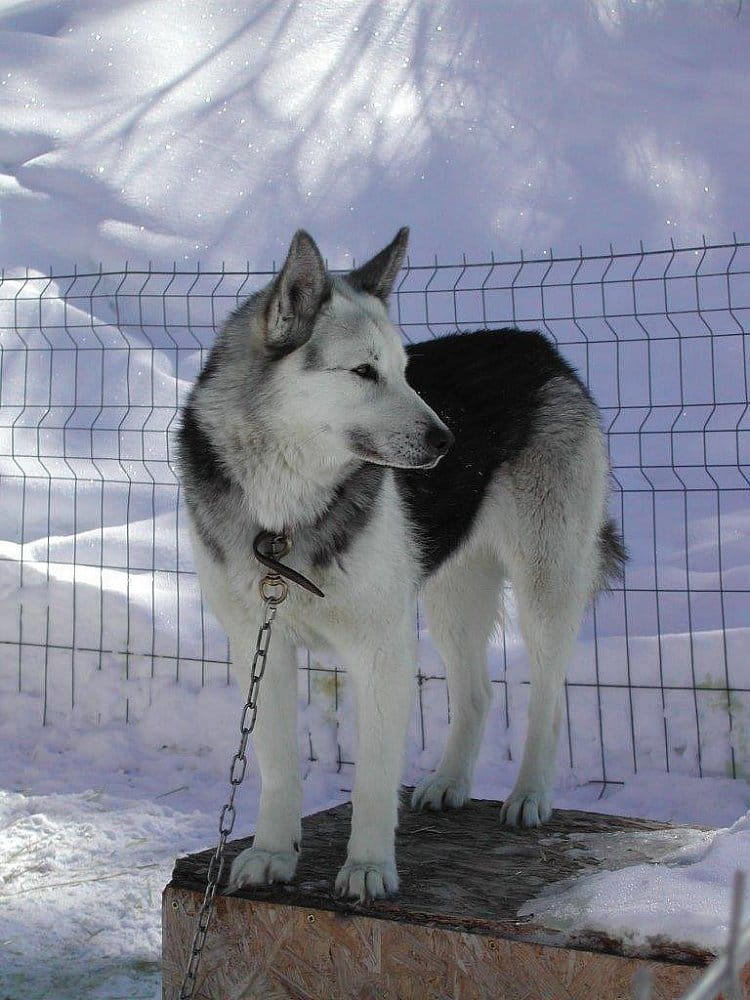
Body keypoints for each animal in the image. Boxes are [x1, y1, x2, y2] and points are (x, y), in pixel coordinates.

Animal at [178, 230, 628, 904]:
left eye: (405, 371)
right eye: (364, 372)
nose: (448, 442)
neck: (285, 513)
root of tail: (533, 343)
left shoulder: (381, 653)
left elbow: (371, 780)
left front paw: (367, 868)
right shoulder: (262, 648)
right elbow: (279, 769)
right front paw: (273, 853)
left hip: (545, 585)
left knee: (548, 697)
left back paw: (529, 794)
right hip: (450, 598)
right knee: (478, 691)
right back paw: (449, 782)